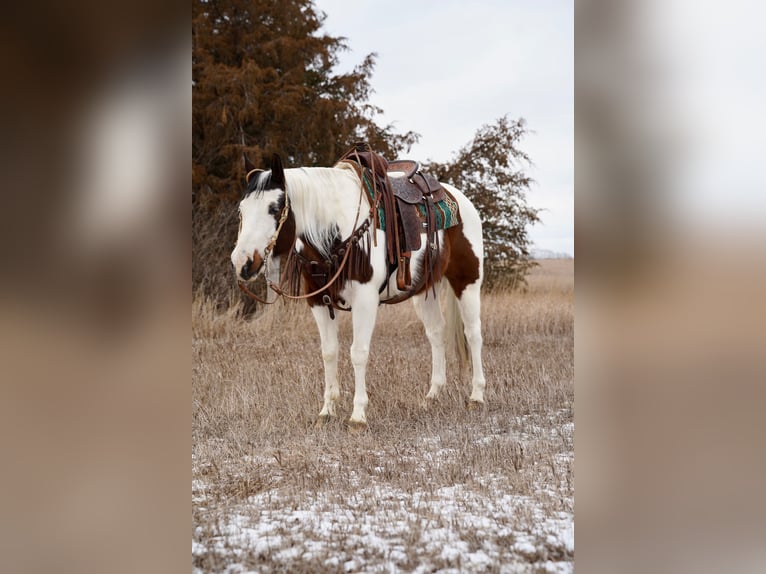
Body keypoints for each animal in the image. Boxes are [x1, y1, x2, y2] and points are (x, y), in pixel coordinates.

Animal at [231, 148, 488, 432]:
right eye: (242, 210)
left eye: (274, 209)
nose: (242, 262)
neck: (335, 232)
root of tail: (458, 199)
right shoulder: (318, 302)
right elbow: (329, 352)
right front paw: (326, 412)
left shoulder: (365, 299)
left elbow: (358, 353)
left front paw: (357, 416)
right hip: (424, 291)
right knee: (436, 333)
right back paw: (432, 396)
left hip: (468, 280)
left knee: (473, 333)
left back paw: (476, 396)